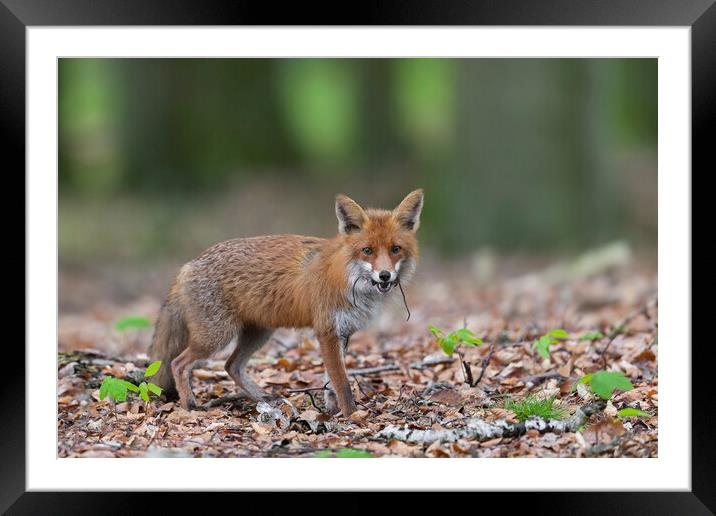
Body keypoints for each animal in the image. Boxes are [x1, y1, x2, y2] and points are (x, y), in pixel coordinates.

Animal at [148, 188, 422, 416]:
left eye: (395, 249)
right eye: (367, 251)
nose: (385, 275)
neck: (347, 276)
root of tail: (188, 265)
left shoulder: (344, 333)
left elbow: (331, 383)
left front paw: (332, 412)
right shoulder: (326, 330)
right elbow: (342, 382)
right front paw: (352, 417)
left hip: (259, 334)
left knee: (231, 365)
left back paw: (262, 398)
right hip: (216, 337)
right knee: (178, 363)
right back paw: (190, 405)